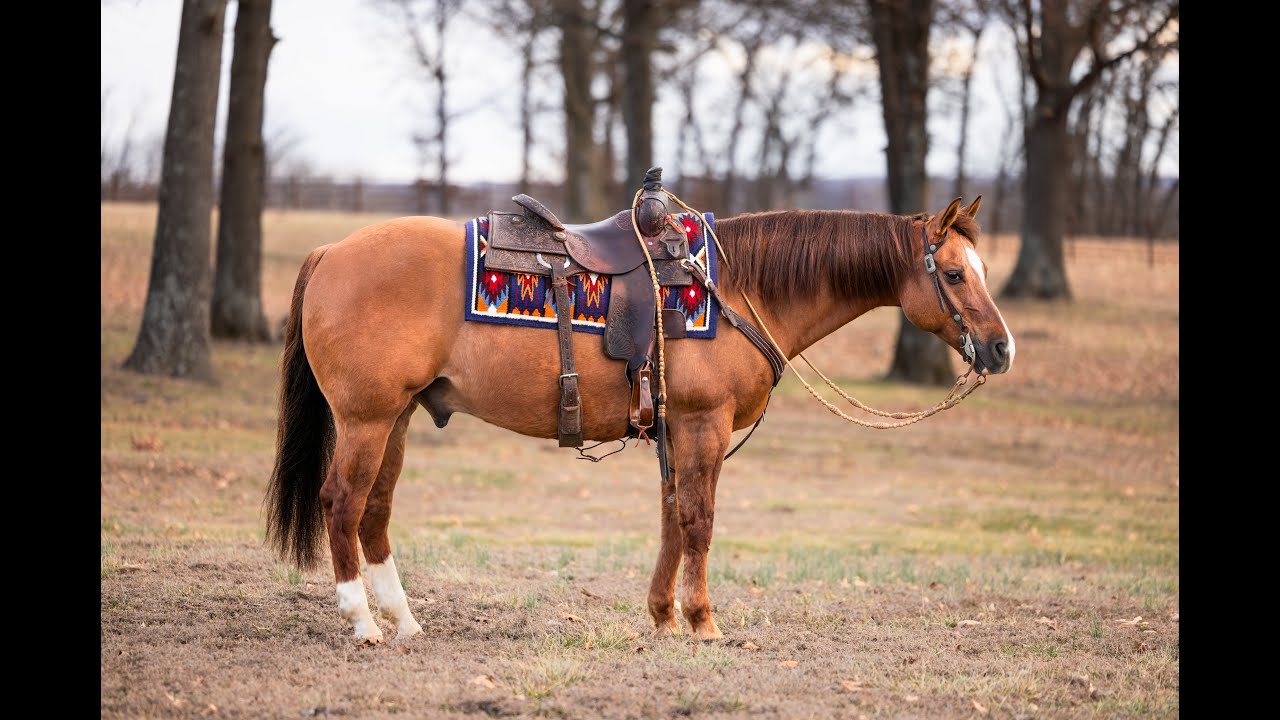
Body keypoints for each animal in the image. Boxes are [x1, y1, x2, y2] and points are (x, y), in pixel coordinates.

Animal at [264, 193, 1015, 644]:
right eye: (954, 275)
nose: (1002, 347)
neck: (740, 286)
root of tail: (331, 253)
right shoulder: (703, 423)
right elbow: (699, 520)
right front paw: (703, 622)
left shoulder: (674, 430)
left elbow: (671, 518)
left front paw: (661, 618)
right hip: (366, 419)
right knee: (341, 502)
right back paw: (362, 622)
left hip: (397, 418)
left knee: (374, 511)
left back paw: (404, 621)